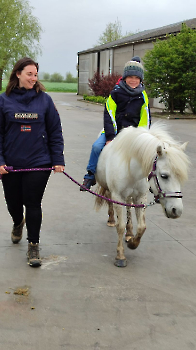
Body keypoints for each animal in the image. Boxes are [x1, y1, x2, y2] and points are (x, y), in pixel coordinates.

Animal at [95, 121, 190, 266]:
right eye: (164, 175)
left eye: (180, 178)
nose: (176, 210)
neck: (131, 167)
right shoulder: (117, 196)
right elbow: (120, 226)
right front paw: (120, 256)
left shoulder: (140, 197)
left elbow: (142, 226)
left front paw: (133, 243)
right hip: (109, 189)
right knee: (109, 200)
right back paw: (111, 220)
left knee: (129, 206)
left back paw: (129, 233)